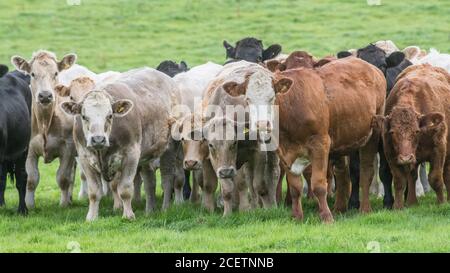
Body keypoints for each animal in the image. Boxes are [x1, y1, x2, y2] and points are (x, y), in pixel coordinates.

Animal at [338, 44, 412, 208]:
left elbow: (385, 171)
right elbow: (355, 171)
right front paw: (353, 202)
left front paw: (389, 201)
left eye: (383, 65)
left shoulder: (387, 141)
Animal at [374, 64, 450, 208]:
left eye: (416, 131)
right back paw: (411, 201)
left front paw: (441, 203)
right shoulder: (390, 153)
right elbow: (399, 180)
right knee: (412, 176)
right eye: (392, 132)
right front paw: (398, 206)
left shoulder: (439, 149)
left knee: (446, 172)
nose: (405, 158)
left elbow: (435, 178)